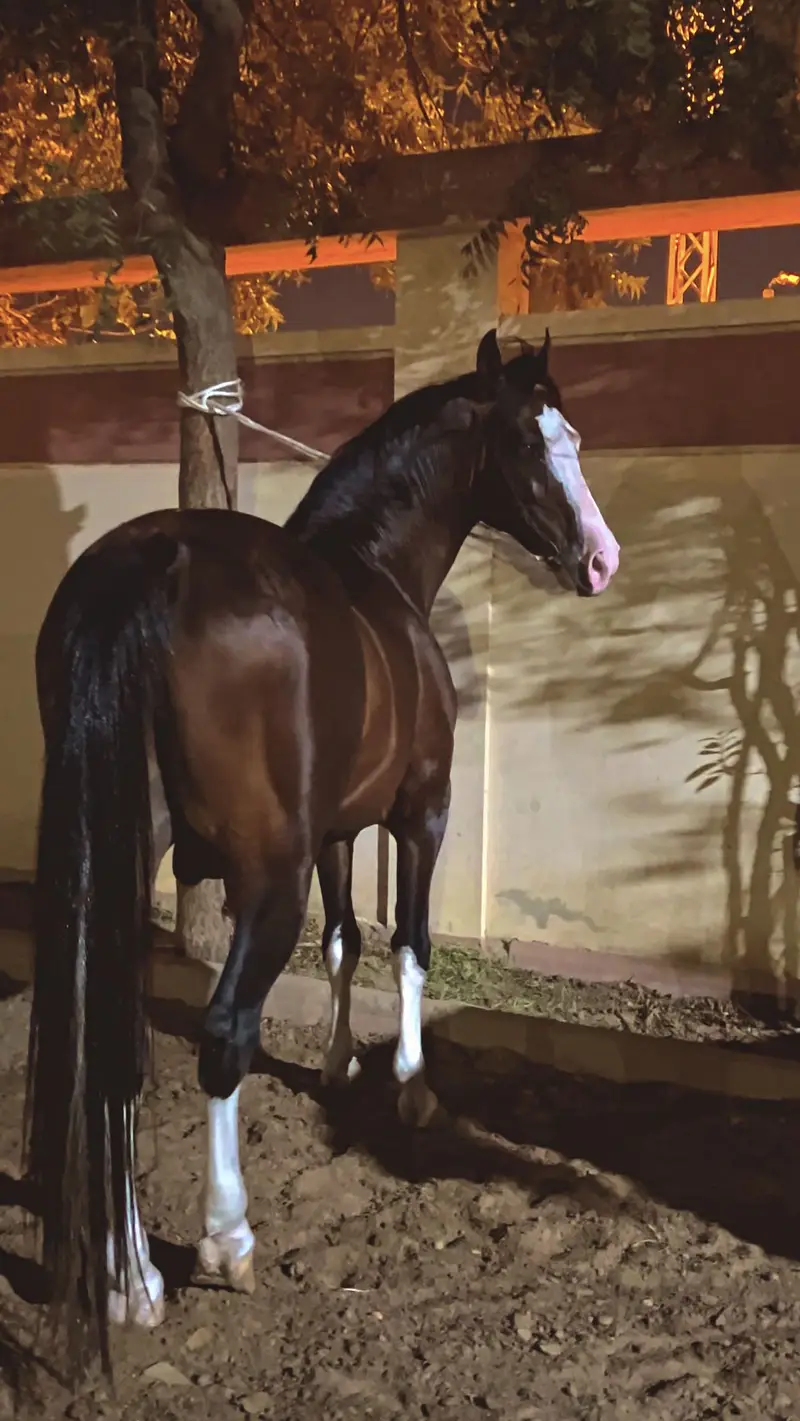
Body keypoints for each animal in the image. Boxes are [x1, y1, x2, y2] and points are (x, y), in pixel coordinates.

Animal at [24, 326, 619, 1377]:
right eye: (534, 440)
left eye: (575, 438)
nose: (599, 560)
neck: (374, 569)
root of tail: (146, 564)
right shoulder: (420, 814)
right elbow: (408, 945)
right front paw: (411, 1085)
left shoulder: (339, 829)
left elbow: (345, 941)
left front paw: (341, 1061)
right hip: (271, 874)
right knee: (224, 1035)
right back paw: (225, 1239)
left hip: (127, 861)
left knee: (117, 1044)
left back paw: (132, 1281)